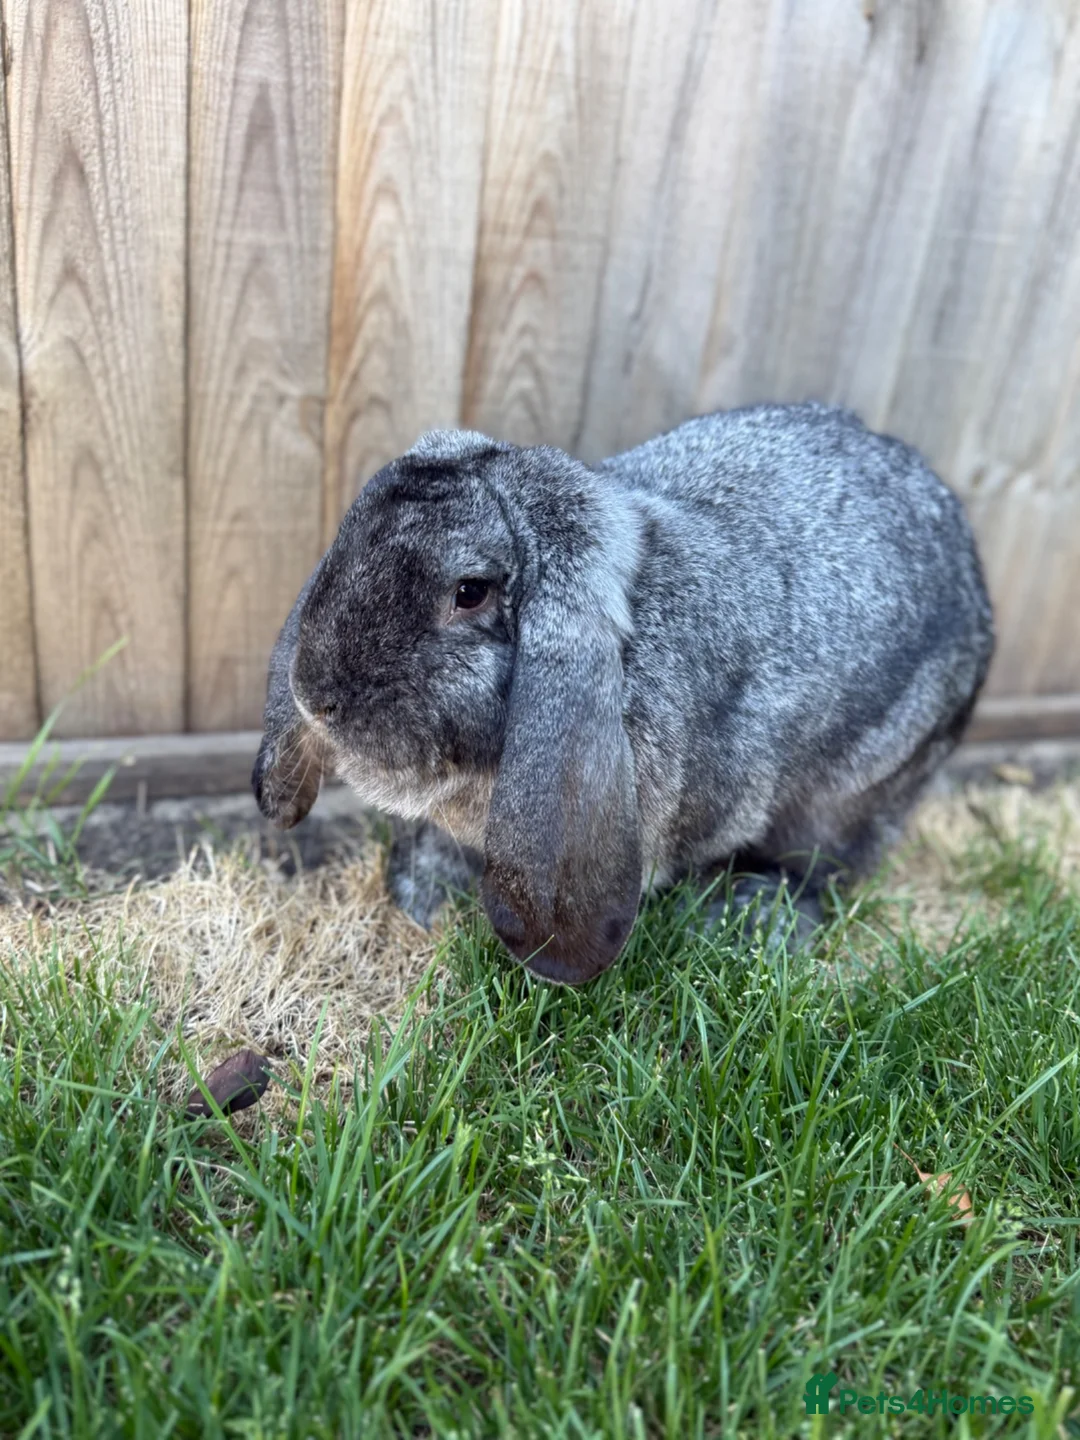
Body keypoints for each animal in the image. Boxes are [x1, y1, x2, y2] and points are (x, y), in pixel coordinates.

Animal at [253, 403, 994, 984]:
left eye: (470, 592)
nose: (313, 695)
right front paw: (421, 899)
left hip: (848, 796)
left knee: (822, 869)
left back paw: (745, 918)